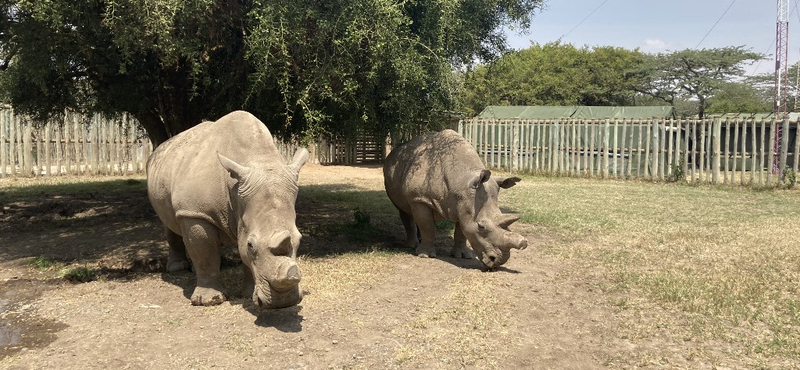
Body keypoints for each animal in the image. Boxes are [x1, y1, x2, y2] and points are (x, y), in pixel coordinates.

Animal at [145, 111, 308, 308]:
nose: (283, 302)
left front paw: (248, 294)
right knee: (168, 223)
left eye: (299, 240)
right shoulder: (195, 212)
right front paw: (209, 301)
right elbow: (205, 251)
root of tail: (159, 148)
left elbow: (241, 255)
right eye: (251, 245)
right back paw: (177, 269)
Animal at [384, 129, 528, 268]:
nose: (498, 261)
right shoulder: (418, 198)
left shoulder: (464, 203)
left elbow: (461, 231)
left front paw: (463, 255)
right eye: (481, 226)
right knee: (404, 210)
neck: (461, 181)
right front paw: (425, 255)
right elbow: (427, 226)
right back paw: (412, 245)